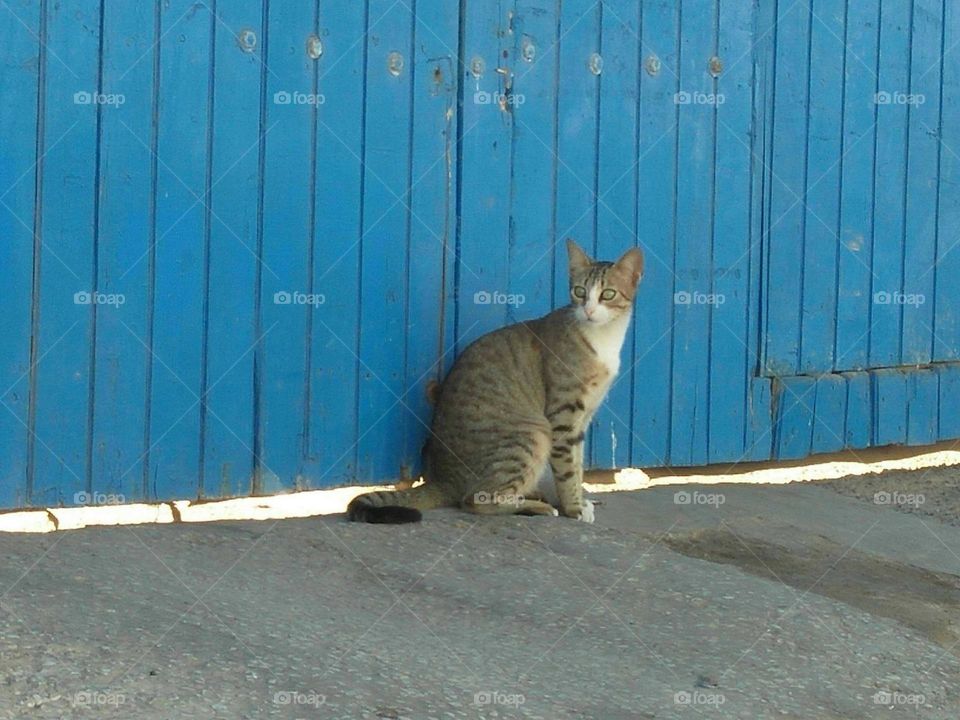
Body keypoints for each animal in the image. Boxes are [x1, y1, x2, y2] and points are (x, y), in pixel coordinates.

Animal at [346, 239, 644, 524]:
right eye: (579, 291)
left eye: (608, 294)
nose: (589, 310)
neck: (603, 339)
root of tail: (442, 479)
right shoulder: (563, 416)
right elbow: (568, 469)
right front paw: (574, 508)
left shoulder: (583, 417)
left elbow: (578, 464)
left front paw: (580, 500)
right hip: (533, 433)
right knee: (475, 500)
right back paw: (537, 506)